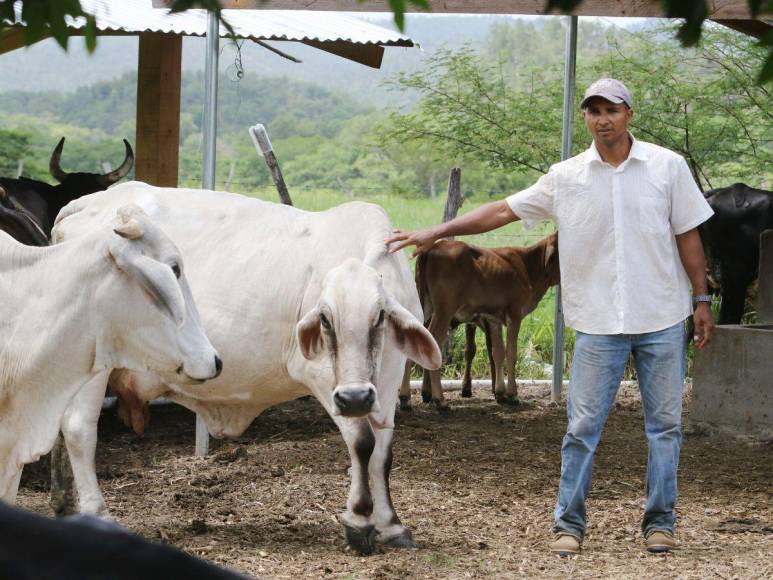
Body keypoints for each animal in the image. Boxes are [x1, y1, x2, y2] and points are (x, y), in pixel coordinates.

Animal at [51, 184, 440, 556]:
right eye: (326, 319)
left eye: (379, 316)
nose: (355, 397)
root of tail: (87, 204)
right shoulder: (322, 377)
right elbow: (362, 443)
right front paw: (359, 522)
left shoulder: (388, 381)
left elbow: (382, 454)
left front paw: (391, 525)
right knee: (78, 428)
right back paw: (95, 513)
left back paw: (61, 500)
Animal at [398, 229, 556, 410]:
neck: (527, 266)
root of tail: (433, 246)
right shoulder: (514, 315)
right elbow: (511, 353)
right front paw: (512, 394)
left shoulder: (493, 319)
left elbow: (497, 352)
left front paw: (500, 392)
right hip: (444, 310)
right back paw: (440, 399)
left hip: (424, 305)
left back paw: (406, 398)